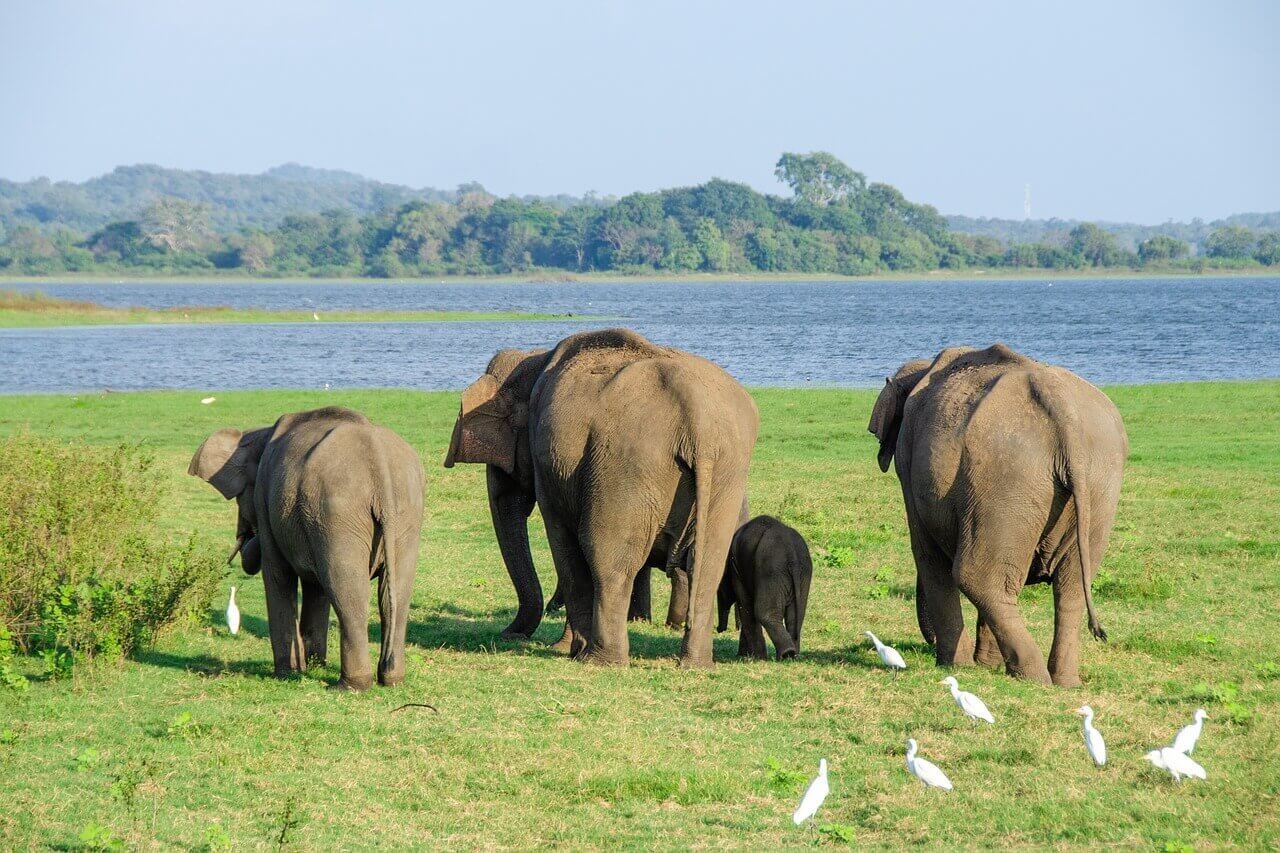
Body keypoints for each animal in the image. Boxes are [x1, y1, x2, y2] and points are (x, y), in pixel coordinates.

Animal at [190, 406, 425, 691]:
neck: (259, 434)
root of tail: (377, 459)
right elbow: (316, 587)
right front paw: (314, 665)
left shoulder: (267, 502)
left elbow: (278, 575)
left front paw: (288, 673)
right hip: (404, 513)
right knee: (396, 593)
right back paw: (392, 679)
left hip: (338, 512)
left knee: (348, 591)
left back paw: (349, 686)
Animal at [444, 328, 759, 667]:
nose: (509, 635)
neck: (534, 357)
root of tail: (698, 421)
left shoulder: (549, 465)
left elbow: (563, 542)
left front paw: (565, 649)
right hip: (727, 472)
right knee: (708, 562)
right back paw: (694, 664)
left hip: (625, 467)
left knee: (608, 559)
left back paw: (599, 660)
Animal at [716, 515, 813, 660]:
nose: (719, 629)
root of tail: (792, 558)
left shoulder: (737, 570)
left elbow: (746, 605)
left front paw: (754, 658)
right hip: (804, 572)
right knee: (796, 615)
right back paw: (793, 655)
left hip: (770, 571)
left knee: (764, 613)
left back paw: (786, 654)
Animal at [868, 343, 1127, 687]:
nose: (929, 642)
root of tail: (1063, 410)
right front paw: (985, 665)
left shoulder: (908, 465)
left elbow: (927, 554)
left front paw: (956, 666)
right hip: (1096, 483)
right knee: (1067, 586)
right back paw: (1063, 681)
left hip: (1005, 477)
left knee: (976, 576)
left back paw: (1032, 679)